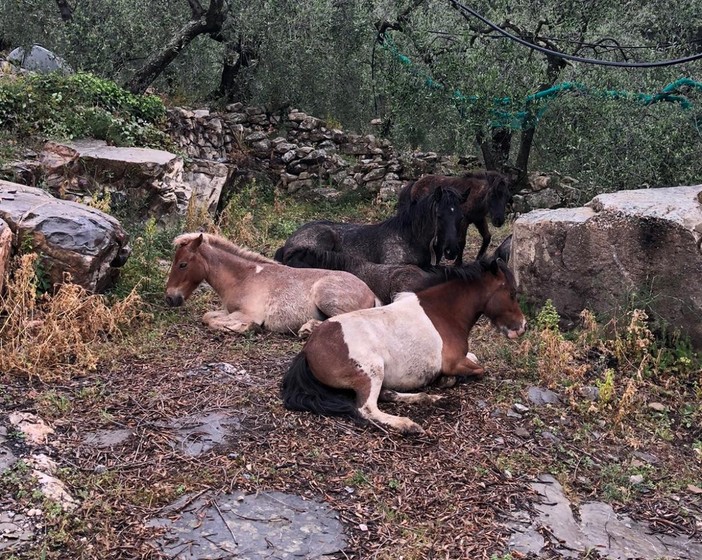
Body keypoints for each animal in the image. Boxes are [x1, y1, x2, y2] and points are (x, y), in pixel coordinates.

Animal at [165, 233, 378, 337]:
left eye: (182, 264)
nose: (169, 298)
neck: (243, 277)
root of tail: (371, 293)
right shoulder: (228, 311)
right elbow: (207, 317)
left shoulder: (248, 314)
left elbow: (213, 321)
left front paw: (248, 328)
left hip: (325, 296)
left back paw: (307, 329)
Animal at [281, 237, 526, 436]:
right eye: (512, 293)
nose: (521, 326)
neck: (443, 312)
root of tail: (308, 349)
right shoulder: (454, 362)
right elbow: (479, 369)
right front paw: (446, 380)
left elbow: (475, 359)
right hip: (372, 372)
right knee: (367, 408)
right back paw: (407, 424)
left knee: (385, 394)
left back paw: (427, 398)